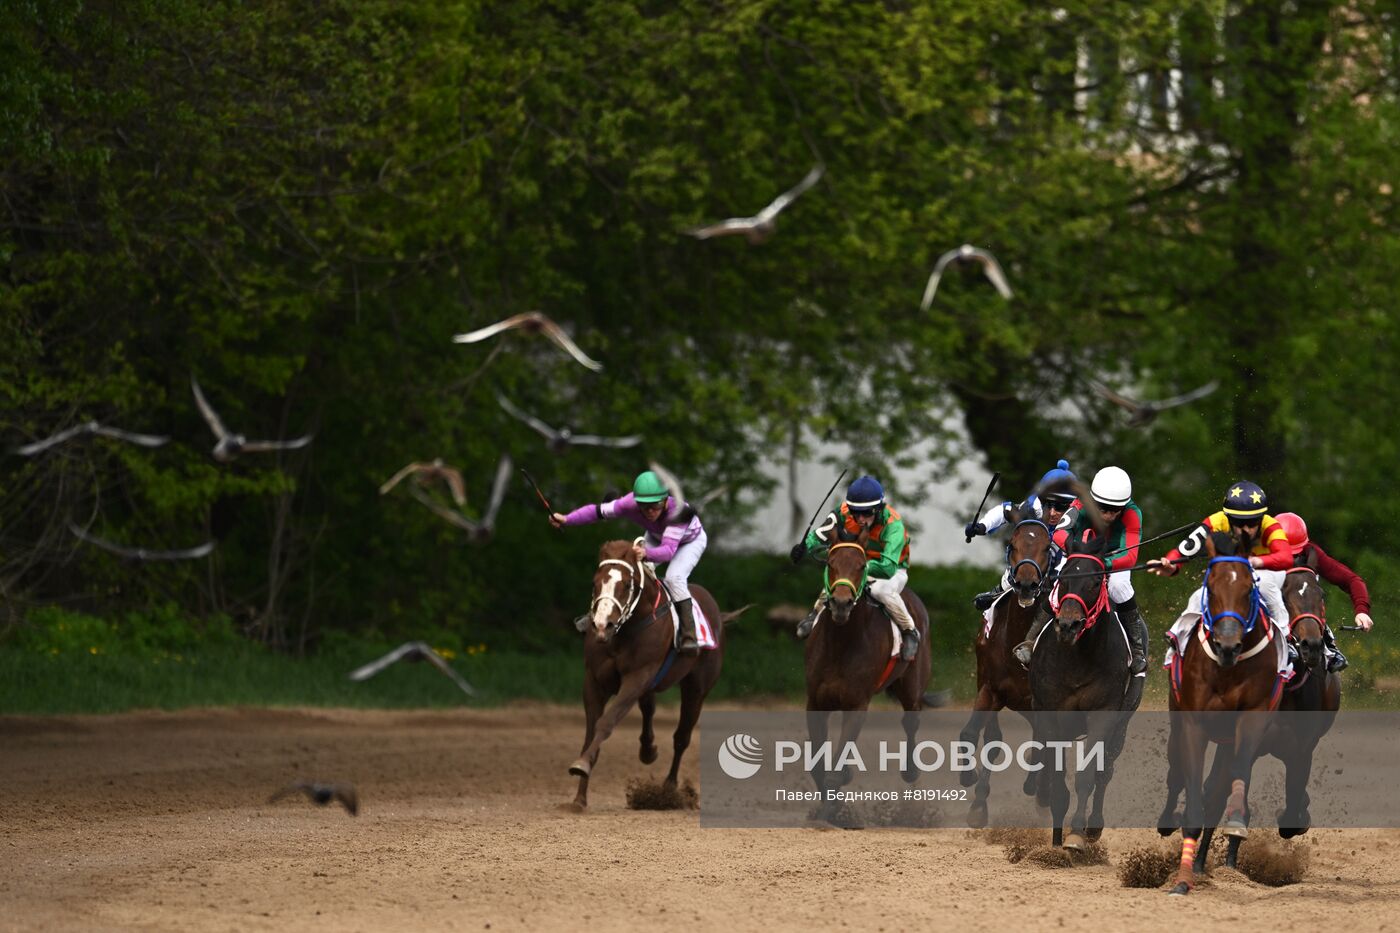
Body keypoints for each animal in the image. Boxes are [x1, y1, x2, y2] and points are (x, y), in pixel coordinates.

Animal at [568, 537, 744, 806]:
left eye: (626, 584)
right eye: (595, 583)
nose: (601, 625)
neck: (624, 631)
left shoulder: (637, 677)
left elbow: (607, 722)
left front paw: (582, 765)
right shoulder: (594, 680)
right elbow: (591, 731)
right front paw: (580, 796)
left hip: (697, 687)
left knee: (682, 736)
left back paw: (668, 789)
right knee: (649, 708)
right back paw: (648, 750)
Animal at [806, 529, 935, 801]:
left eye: (861, 565)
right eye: (830, 564)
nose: (841, 603)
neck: (841, 644)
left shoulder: (857, 702)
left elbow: (834, 770)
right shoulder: (816, 701)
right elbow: (818, 767)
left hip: (912, 684)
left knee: (911, 721)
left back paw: (911, 771)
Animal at [957, 509, 1052, 823]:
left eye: (1048, 547)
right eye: (1012, 543)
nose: (1026, 584)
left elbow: (1044, 746)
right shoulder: (991, 688)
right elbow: (979, 737)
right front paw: (974, 794)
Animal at [1024, 526, 1142, 846]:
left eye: (1094, 581)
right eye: (1063, 578)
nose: (1068, 625)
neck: (1076, 659)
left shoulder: (1104, 714)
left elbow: (1088, 776)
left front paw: (1076, 834)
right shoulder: (1049, 715)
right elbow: (1056, 780)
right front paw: (1055, 843)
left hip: (1122, 723)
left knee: (1105, 771)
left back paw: (1093, 827)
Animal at [1153, 526, 1282, 890]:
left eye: (1248, 589)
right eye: (1210, 587)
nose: (1227, 645)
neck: (1227, 669)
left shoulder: (1253, 718)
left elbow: (1237, 770)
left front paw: (1236, 819)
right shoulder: (1193, 724)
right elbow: (1191, 779)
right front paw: (1182, 879)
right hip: (1176, 717)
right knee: (1175, 773)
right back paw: (1167, 819)